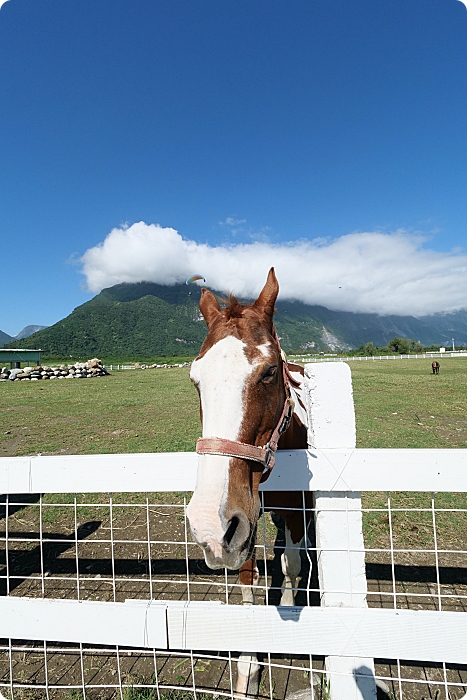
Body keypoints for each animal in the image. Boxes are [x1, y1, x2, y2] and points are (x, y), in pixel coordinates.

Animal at [187, 268, 314, 696]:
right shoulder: (243, 521)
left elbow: (292, 564)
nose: (208, 524)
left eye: (269, 371)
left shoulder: (292, 510)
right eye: (195, 380)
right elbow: (247, 576)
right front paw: (248, 665)